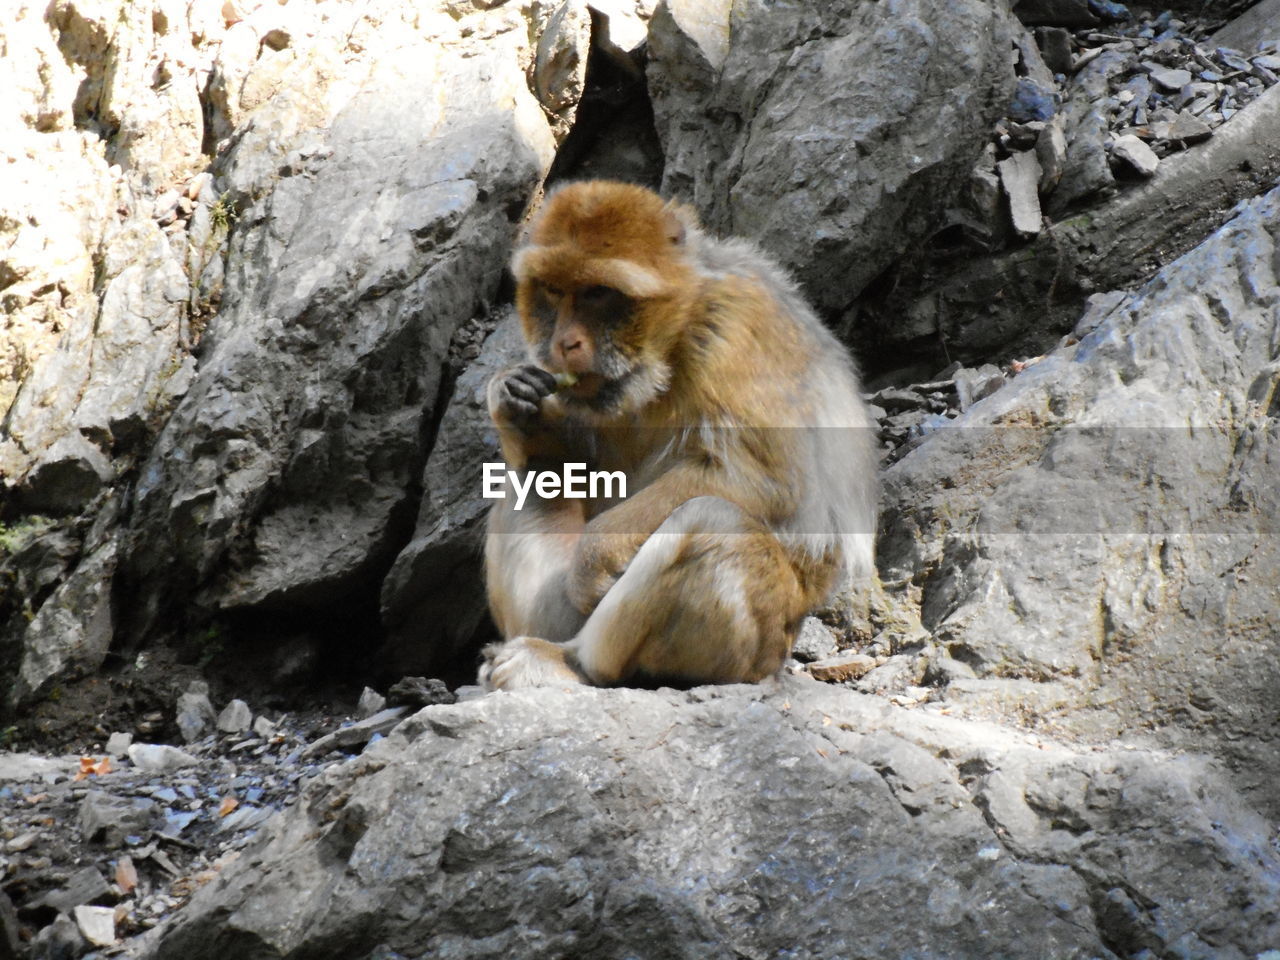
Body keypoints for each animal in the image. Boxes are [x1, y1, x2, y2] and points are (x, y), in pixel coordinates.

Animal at [481, 180, 880, 691]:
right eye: (553, 291)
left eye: (597, 294)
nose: (564, 343)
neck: (674, 338)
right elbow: (568, 464)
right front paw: (514, 400)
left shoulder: (737, 329)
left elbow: (762, 482)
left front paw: (592, 557)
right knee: (532, 478)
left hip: (755, 644)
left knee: (713, 522)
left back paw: (577, 665)